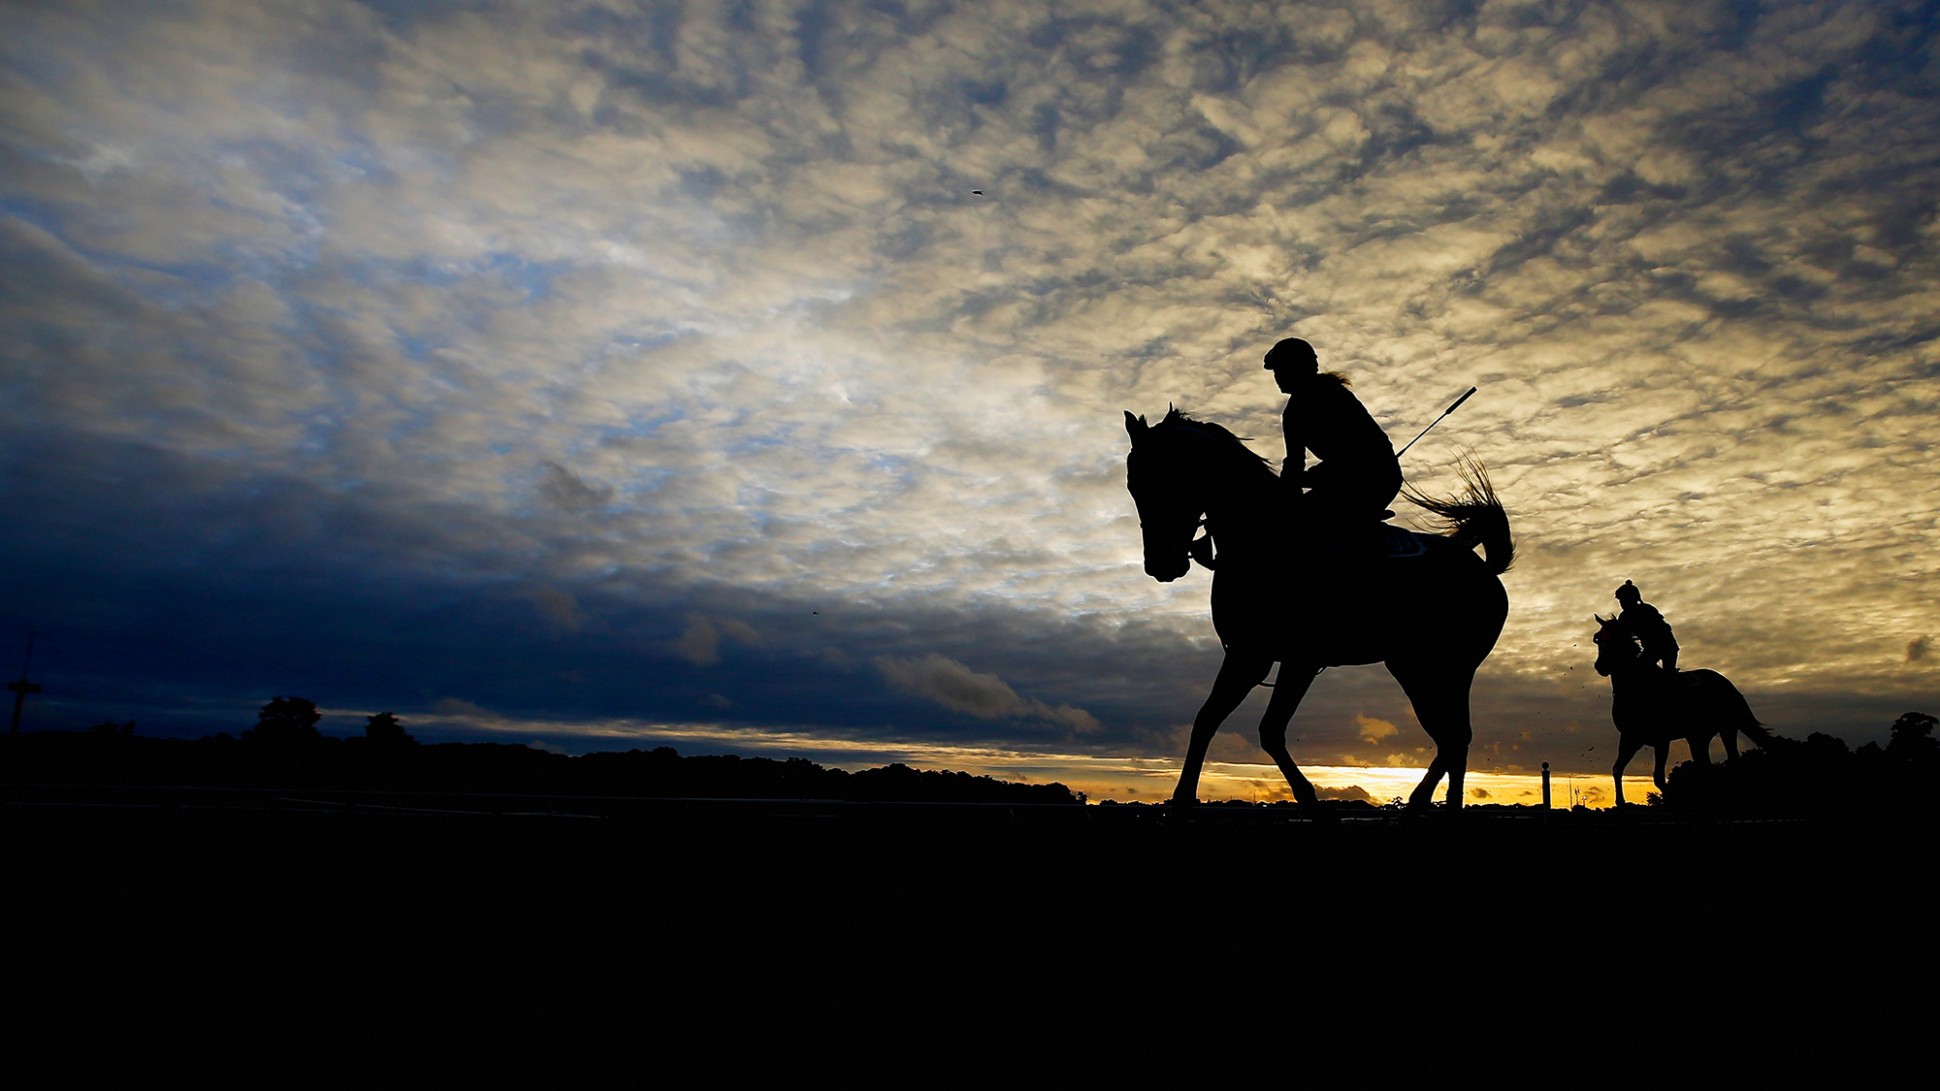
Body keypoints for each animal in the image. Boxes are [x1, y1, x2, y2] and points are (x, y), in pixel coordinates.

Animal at [1125, 407, 1513, 807]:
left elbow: (1268, 729)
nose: (1161, 565)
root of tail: (1484, 569)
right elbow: (1208, 719)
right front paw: (1183, 796)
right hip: (1415, 668)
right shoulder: (1248, 654)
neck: (1264, 536)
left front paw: (1307, 796)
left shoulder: (1292, 659)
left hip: (1445, 668)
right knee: (1452, 737)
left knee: (1454, 737)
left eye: (1164, 479)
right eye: (1133, 486)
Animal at [1590, 617, 1777, 803]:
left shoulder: (1661, 740)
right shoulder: (1630, 738)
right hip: (1698, 737)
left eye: (1616, 638)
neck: (1636, 686)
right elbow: (1617, 769)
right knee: (1707, 767)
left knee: (1733, 761)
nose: (1600, 666)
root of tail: (1727, 683)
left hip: (1727, 728)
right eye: (1598, 638)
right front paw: (1620, 802)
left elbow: (1658, 778)